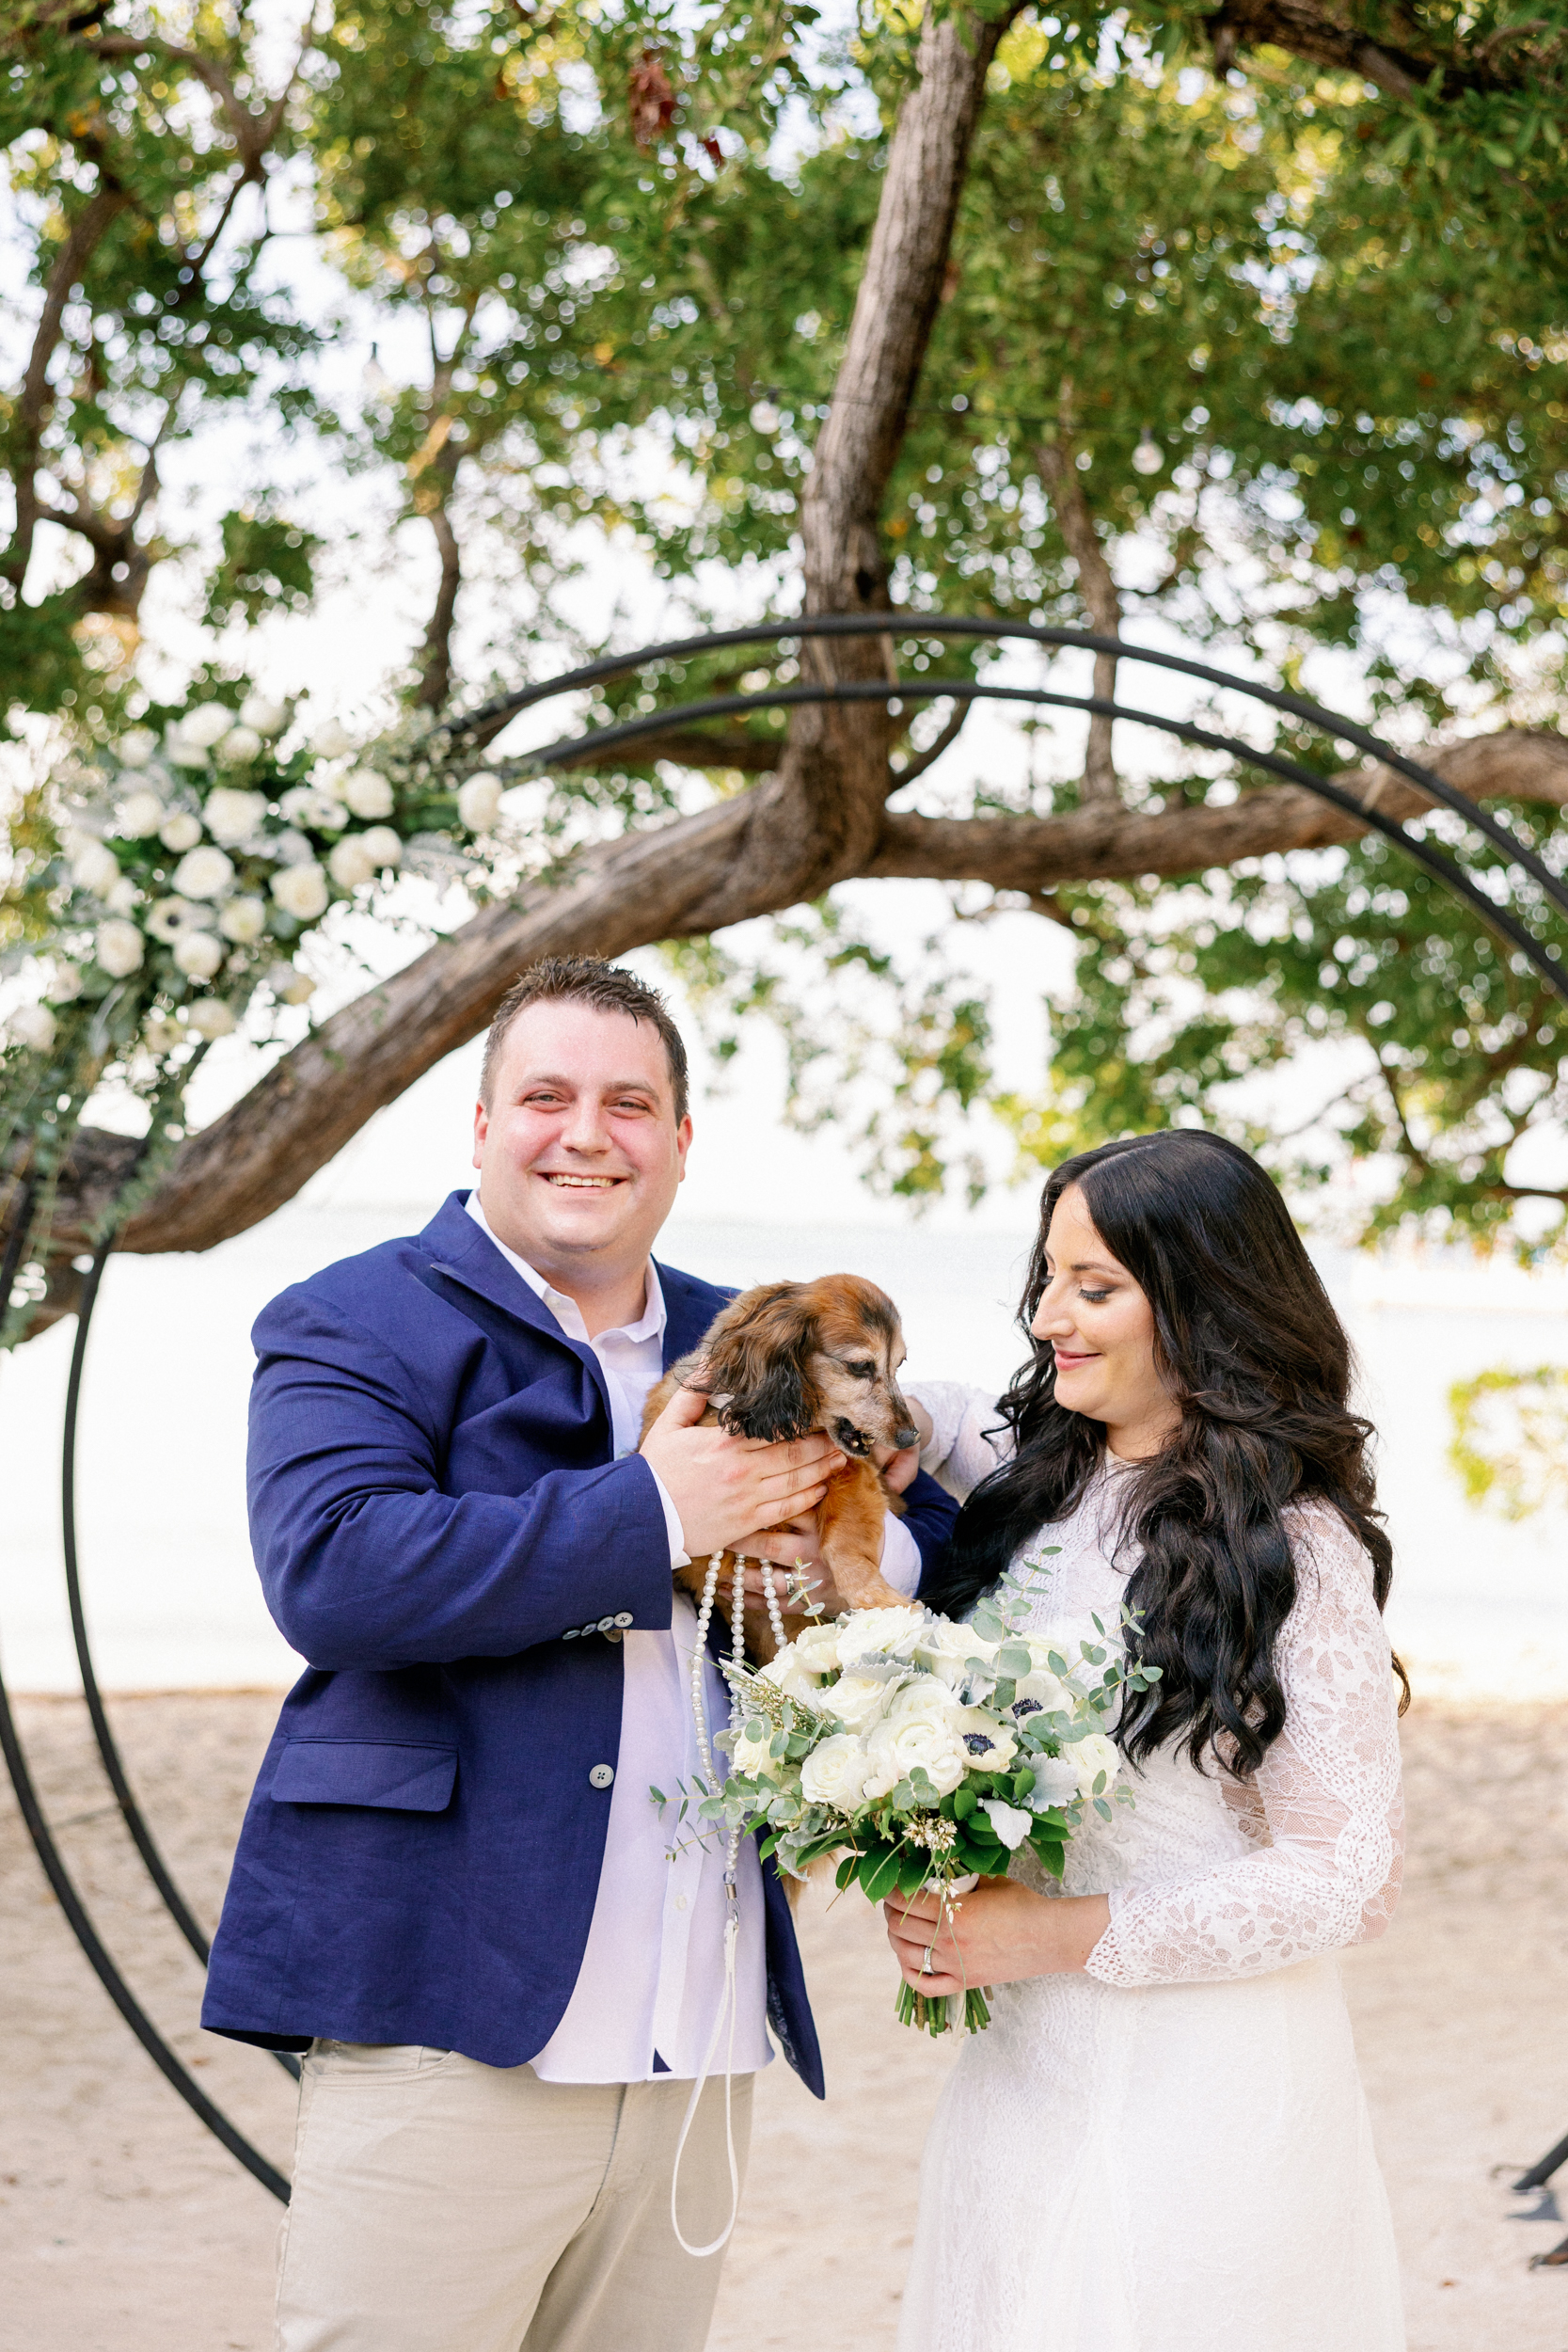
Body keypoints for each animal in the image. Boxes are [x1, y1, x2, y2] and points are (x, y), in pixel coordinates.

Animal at [643, 1270, 926, 1656]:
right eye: (859, 1366)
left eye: (899, 1365)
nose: (912, 1438)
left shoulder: (852, 1472)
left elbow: (842, 1539)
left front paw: (873, 1596)